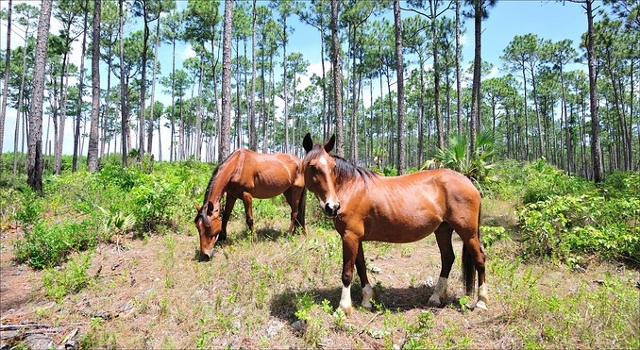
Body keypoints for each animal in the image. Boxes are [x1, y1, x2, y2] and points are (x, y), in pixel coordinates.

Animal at [302, 133, 488, 314]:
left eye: (333, 167)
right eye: (311, 166)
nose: (332, 207)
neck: (351, 189)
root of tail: (468, 181)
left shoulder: (350, 236)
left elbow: (347, 272)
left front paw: (343, 308)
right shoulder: (356, 237)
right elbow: (361, 267)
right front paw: (367, 300)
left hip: (468, 232)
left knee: (479, 258)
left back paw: (481, 302)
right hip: (443, 230)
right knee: (448, 258)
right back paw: (436, 297)